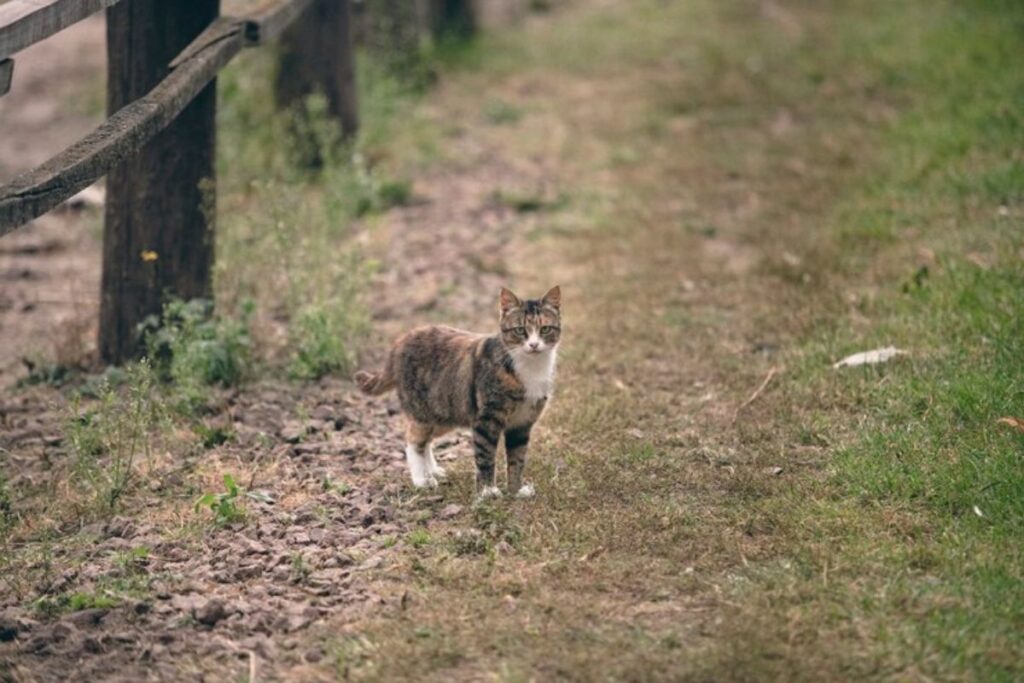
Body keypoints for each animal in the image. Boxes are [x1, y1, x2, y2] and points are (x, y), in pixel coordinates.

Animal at [352, 286, 561, 499]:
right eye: (520, 330)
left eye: (545, 329)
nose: (534, 345)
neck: (530, 368)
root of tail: (400, 342)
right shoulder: (487, 421)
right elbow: (485, 457)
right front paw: (488, 491)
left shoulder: (522, 424)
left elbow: (517, 460)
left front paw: (516, 490)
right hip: (422, 412)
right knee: (413, 440)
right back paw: (421, 480)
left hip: (445, 411)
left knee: (427, 441)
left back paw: (433, 471)